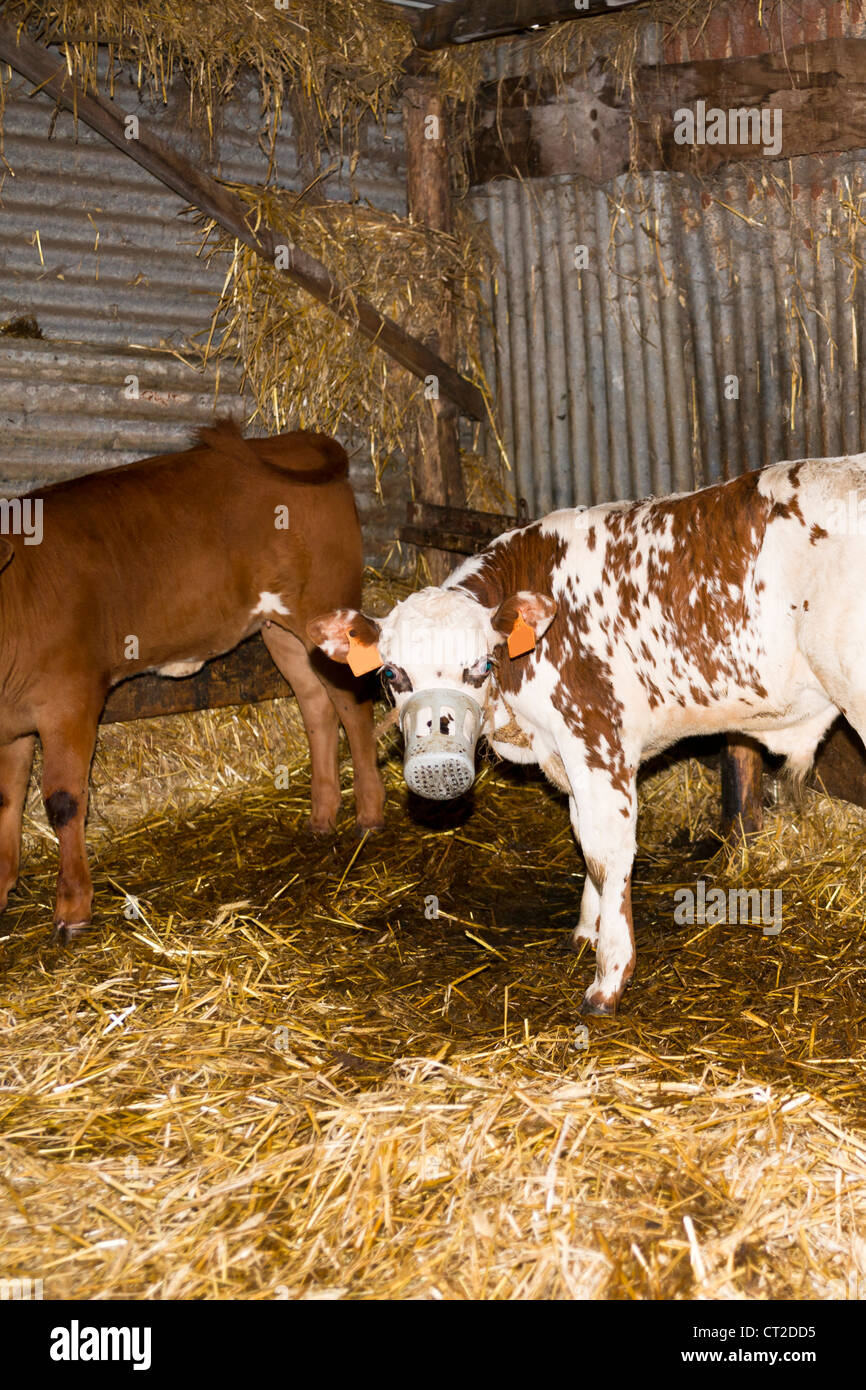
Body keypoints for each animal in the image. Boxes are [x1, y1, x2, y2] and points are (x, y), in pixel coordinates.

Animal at [0, 420, 384, 933]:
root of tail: (291, 439)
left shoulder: (70, 702)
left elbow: (64, 800)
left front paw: (73, 907)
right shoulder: (12, 726)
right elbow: (7, 799)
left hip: (326, 606)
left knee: (352, 705)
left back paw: (370, 813)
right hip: (282, 630)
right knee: (315, 703)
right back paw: (322, 817)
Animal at [308, 457, 866, 1016]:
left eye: (481, 665)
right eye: (392, 674)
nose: (437, 768)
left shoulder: (598, 740)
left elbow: (606, 851)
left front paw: (609, 978)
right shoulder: (566, 751)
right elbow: (582, 837)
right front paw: (586, 931)